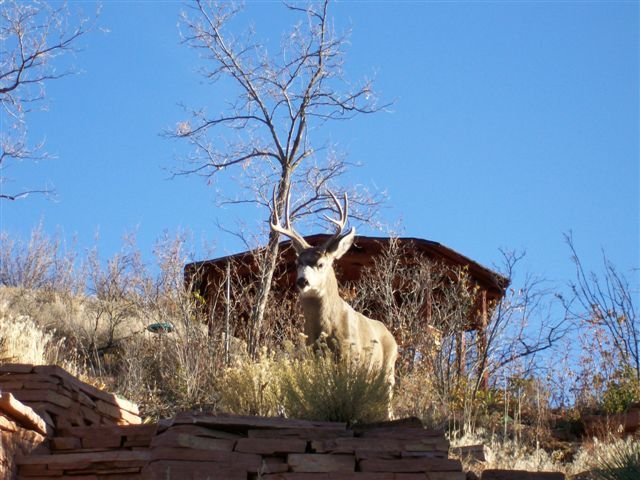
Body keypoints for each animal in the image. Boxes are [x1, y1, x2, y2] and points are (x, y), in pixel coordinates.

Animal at [270, 189, 398, 413]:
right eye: (297, 262)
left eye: (321, 263)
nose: (302, 281)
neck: (327, 327)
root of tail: (392, 336)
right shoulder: (314, 356)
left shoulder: (350, 355)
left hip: (387, 370)